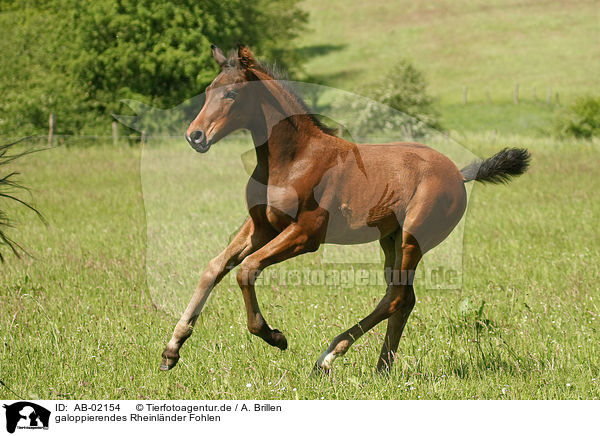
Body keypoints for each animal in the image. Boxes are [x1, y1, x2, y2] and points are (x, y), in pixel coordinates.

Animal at [159, 44, 528, 372]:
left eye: (233, 95)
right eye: (209, 90)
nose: (195, 136)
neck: (292, 160)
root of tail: (459, 174)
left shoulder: (305, 234)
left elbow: (246, 269)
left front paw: (273, 335)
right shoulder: (261, 226)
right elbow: (214, 268)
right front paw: (171, 349)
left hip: (413, 239)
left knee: (397, 298)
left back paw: (329, 357)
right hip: (390, 240)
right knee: (402, 298)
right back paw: (381, 368)